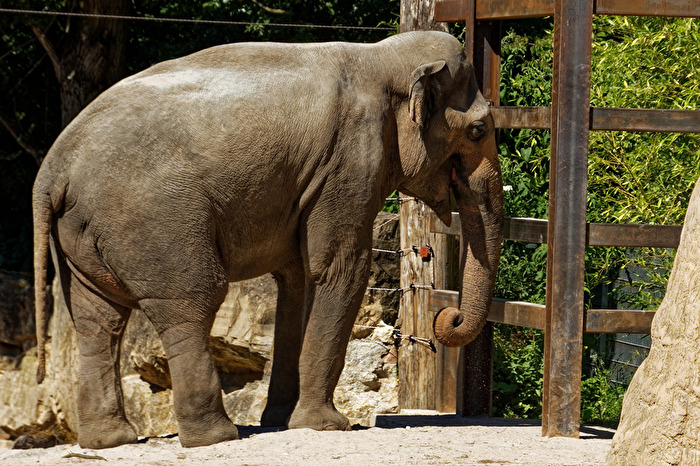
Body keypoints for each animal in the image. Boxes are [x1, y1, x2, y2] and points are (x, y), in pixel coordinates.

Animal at [32, 30, 503, 449]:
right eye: (479, 130)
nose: (449, 318)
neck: (380, 56)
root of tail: (51, 170)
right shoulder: (349, 160)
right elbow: (340, 268)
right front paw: (325, 425)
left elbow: (299, 280)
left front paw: (281, 420)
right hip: (153, 220)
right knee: (192, 302)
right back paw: (216, 437)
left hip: (80, 235)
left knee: (98, 321)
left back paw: (110, 441)